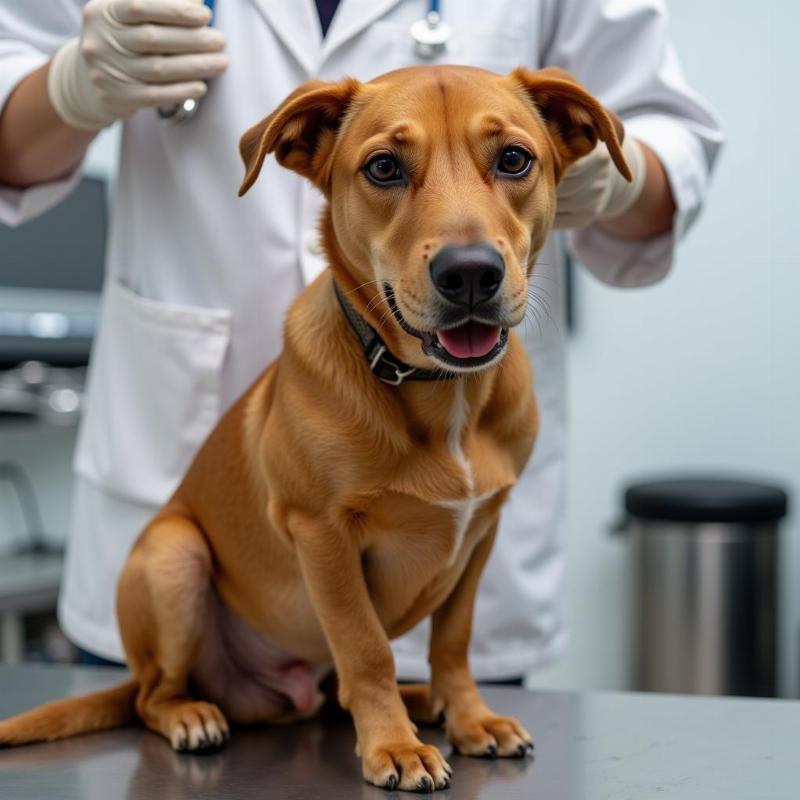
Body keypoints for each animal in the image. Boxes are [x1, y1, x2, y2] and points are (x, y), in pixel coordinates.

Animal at [0, 65, 628, 792]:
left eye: (514, 159)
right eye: (383, 167)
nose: (470, 272)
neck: (436, 393)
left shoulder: (482, 532)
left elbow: (453, 642)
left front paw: (469, 716)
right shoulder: (321, 534)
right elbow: (365, 649)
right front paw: (394, 746)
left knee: (334, 693)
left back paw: (428, 702)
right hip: (174, 556)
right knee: (154, 696)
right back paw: (194, 713)